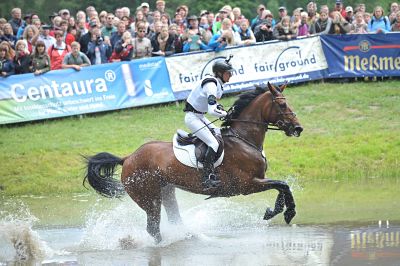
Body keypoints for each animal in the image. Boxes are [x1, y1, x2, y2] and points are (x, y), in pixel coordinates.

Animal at [83, 82, 304, 243]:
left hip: (166, 191)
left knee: (172, 219)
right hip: (149, 198)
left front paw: (277, 211)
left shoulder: (255, 182)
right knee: (153, 227)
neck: (244, 139)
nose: (298, 128)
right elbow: (282, 185)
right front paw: (286, 212)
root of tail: (128, 158)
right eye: (282, 105)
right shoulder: (247, 185)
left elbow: (282, 187)